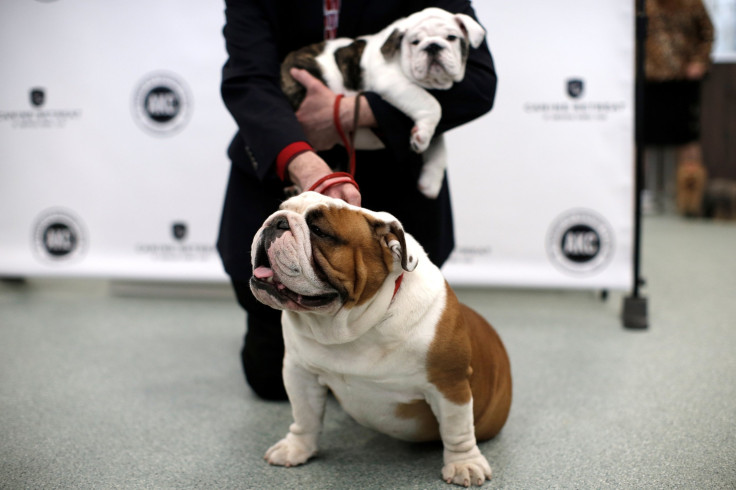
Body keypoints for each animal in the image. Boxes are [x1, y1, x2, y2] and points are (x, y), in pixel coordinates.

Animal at [252, 192, 512, 486]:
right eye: (280, 209)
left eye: (319, 231)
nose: (277, 221)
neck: (350, 327)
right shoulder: (300, 373)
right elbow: (304, 416)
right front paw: (296, 448)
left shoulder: (449, 384)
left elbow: (457, 430)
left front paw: (464, 464)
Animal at [284, 7, 488, 199]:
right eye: (415, 42)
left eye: (452, 37)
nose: (432, 46)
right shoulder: (393, 82)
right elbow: (431, 104)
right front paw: (423, 135)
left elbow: (439, 143)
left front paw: (430, 178)